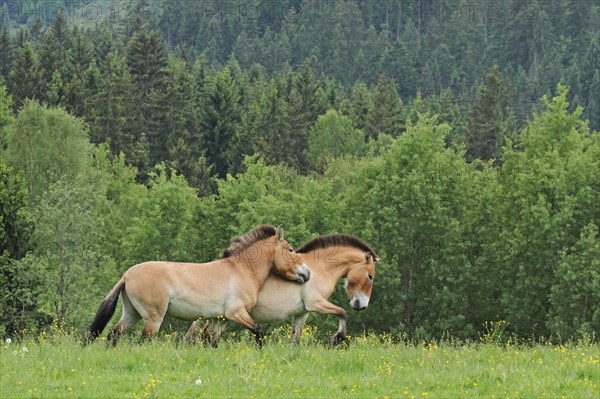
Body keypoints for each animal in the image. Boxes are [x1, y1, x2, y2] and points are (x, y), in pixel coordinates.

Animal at [85, 225, 312, 346]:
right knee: (143, 341)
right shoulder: (236, 313)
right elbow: (258, 331)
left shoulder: (221, 319)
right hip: (152, 318)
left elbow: (212, 342)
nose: (307, 274)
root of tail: (127, 275)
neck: (241, 270)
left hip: (132, 313)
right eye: (290, 249)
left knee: (113, 334)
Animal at [186, 234, 380, 346]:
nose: (362, 305)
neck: (319, 268)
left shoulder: (302, 312)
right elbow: (342, 313)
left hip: (221, 317)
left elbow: (295, 339)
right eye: (370, 276)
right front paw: (337, 338)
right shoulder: (316, 303)